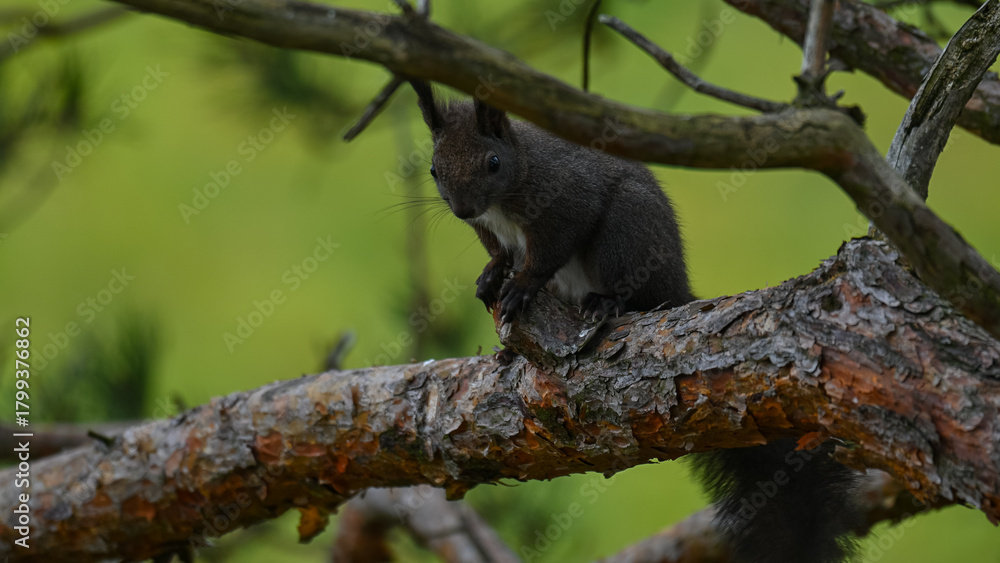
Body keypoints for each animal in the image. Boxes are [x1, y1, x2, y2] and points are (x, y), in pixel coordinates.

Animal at [409, 79, 862, 563]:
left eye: (492, 162)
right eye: (434, 169)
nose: (462, 209)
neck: (517, 178)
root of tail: (676, 285)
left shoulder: (564, 200)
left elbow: (549, 251)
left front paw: (522, 285)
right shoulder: (489, 229)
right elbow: (498, 252)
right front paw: (492, 276)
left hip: (625, 234)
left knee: (631, 295)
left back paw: (605, 305)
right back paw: (509, 350)